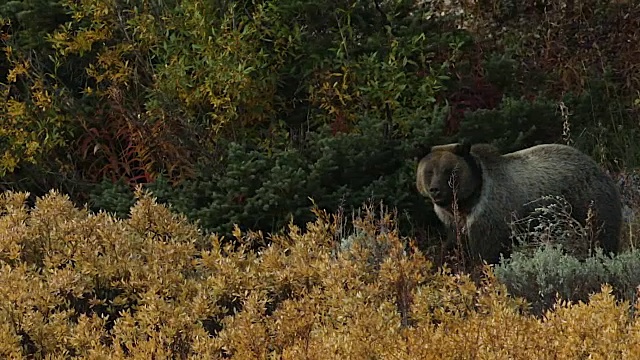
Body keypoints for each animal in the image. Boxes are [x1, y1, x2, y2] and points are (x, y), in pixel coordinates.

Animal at [418, 142, 624, 262]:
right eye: (429, 171)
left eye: (449, 170)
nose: (435, 189)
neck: (468, 202)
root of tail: (598, 168)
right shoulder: (455, 224)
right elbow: (453, 246)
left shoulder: (491, 217)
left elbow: (489, 254)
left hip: (589, 203)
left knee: (601, 237)